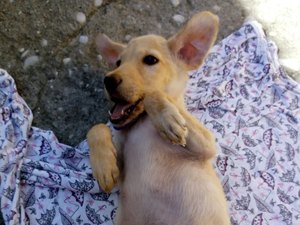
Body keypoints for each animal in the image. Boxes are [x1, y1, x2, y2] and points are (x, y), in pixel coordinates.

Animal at [86, 11, 230, 225]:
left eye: (150, 60)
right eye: (118, 62)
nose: (108, 79)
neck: (141, 123)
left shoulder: (207, 145)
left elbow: (153, 95)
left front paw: (168, 120)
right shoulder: (121, 172)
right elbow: (96, 128)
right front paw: (103, 167)